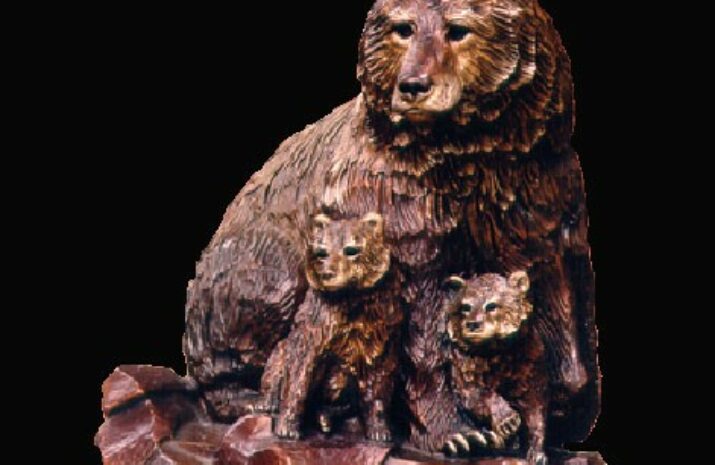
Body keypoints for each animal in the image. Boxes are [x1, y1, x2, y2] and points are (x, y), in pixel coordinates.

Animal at [257, 212, 403, 442]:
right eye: (321, 252)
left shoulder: (381, 333)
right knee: (276, 364)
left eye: (351, 249)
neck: (349, 299)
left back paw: (325, 417)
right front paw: (287, 427)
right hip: (281, 352)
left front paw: (380, 430)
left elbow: (378, 384)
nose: (328, 273)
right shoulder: (315, 329)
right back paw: (267, 403)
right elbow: (298, 377)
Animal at [441, 272, 548, 465]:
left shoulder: (532, 367)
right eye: (465, 307)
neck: (495, 349)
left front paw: (537, 449)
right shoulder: (464, 370)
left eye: (491, 306)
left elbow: (536, 410)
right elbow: (479, 395)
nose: (472, 324)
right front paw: (506, 419)